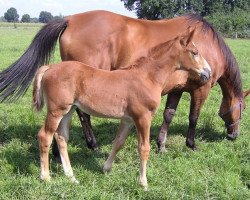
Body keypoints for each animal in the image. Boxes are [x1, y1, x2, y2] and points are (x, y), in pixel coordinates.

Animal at [32, 32, 210, 188]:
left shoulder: (128, 119)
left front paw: (106, 168)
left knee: (61, 137)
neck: (147, 77)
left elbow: (118, 143)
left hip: (68, 111)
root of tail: (49, 67)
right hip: (56, 111)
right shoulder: (143, 117)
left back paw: (71, 177)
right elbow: (144, 148)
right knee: (45, 136)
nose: (208, 72)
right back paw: (45, 177)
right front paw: (143, 183)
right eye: (195, 52)